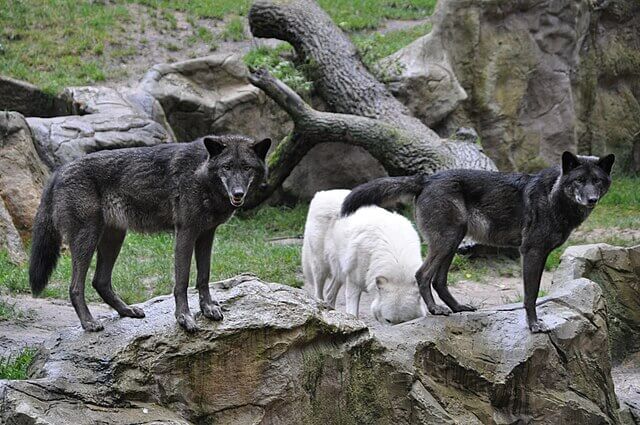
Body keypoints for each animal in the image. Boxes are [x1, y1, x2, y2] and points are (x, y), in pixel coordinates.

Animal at [29, 135, 271, 332]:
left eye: (246, 168)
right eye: (227, 167)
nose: (238, 193)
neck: (201, 174)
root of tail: (59, 170)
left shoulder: (206, 235)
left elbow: (204, 276)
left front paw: (208, 308)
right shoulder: (185, 233)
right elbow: (182, 281)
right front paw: (184, 318)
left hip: (113, 238)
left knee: (100, 282)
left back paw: (126, 311)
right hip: (87, 239)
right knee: (75, 287)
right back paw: (89, 323)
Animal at [303, 190, 426, 324]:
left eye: (404, 322)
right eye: (388, 320)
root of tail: (321, 194)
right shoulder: (353, 284)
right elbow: (352, 313)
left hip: (340, 270)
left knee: (329, 293)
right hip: (320, 267)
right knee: (318, 292)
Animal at [342, 151, 615, 333]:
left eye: (597, 181)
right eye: (579, 180)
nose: (591, 199)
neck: (554, 196)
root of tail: (426, 179)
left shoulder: (541, 253)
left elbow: (533, 293)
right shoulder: (532, 252)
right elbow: (531, 295)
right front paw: (534, 325)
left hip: (453, 241)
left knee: (439, 280)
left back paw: (458, 308)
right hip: (447, 241)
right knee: (422, 275)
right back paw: (436, 310)